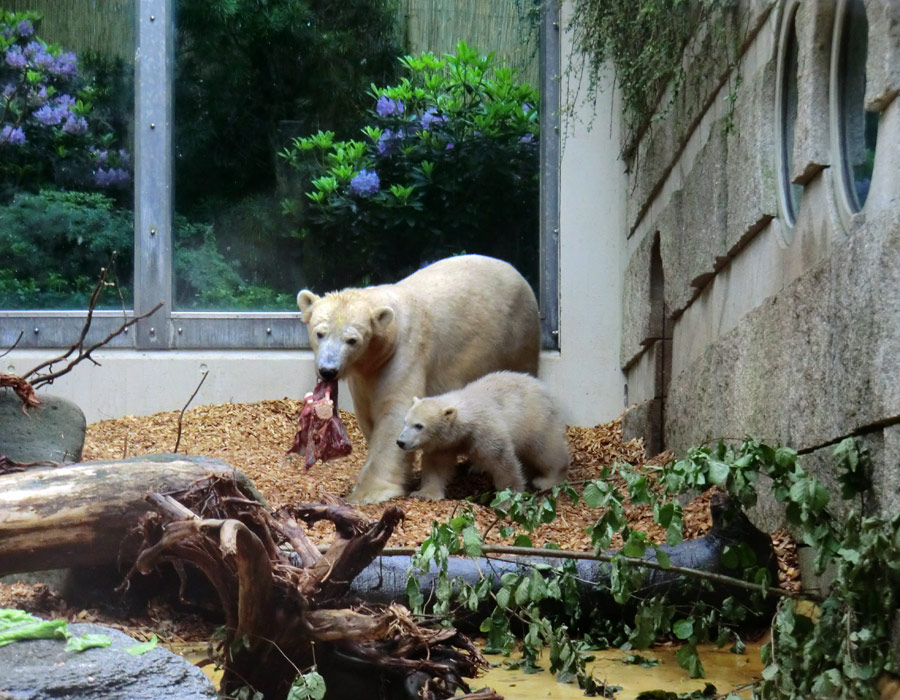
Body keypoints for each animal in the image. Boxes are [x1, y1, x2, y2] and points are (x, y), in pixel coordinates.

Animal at [298, 256, 540, 504]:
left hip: (517, 335)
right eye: (320, 333)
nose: (328, 370)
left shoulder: (405, 354)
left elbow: (394, 414)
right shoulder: (365, 375)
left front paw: (368, 492)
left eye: (352, 340)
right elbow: (367, 414)